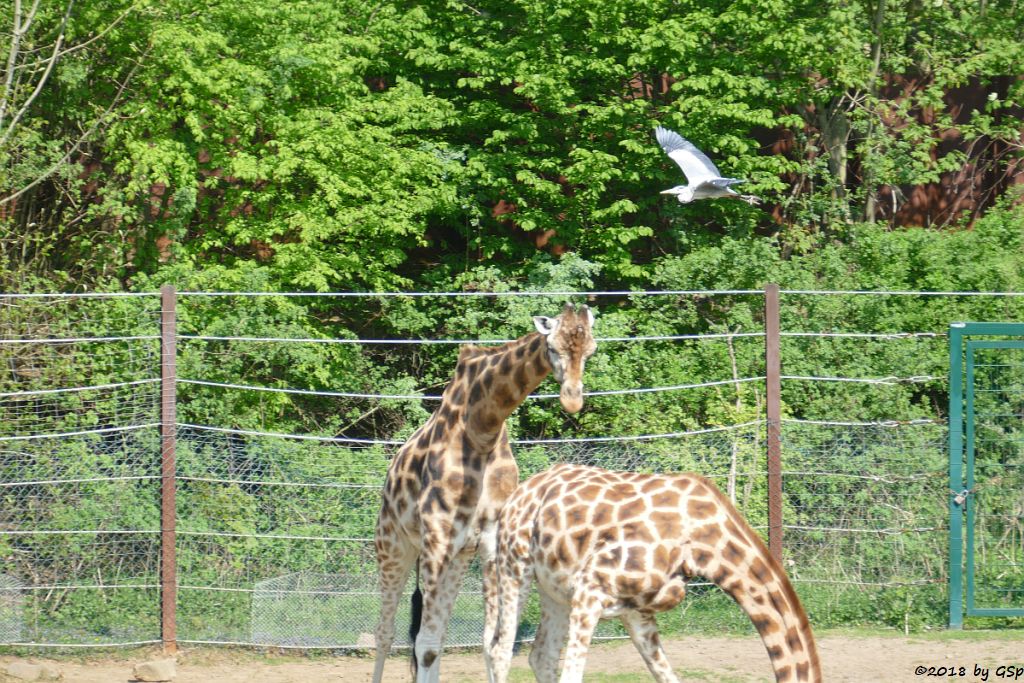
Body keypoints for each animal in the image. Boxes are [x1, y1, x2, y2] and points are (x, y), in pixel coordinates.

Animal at [372, 305, 598, 683]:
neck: (482, 430)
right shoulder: (437, 538)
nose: (572, 400)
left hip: (458, 557)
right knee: (387, 634)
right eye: (552, 347)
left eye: (591, 350)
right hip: (394, 544)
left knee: (436, 638)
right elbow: (421, 641)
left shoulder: (491, 542)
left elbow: (492, 646)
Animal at [489, 462, 823, 679]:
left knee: (541, 655)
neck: (703, 543)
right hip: (514, 564)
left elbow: (666, 674)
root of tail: (522, 490)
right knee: (499, 650)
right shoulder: (591, 589)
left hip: (553, 590)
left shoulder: (637, 610)